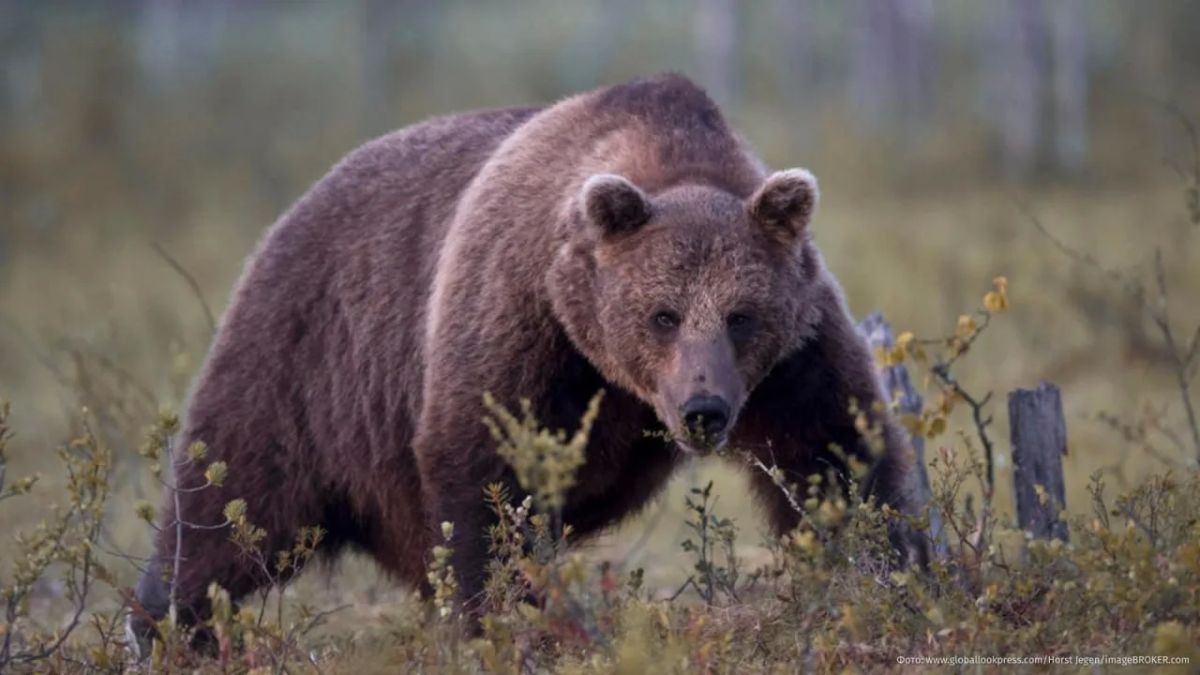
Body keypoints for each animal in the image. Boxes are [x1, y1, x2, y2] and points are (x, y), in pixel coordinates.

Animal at [130, 73, 920, 650]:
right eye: (662, 314)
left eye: (741, 315)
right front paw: (500, 619)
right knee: (229, 502)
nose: (704, 409)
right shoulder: (519, 315)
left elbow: (836, 454)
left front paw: (891, 575)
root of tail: (298, 202)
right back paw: (168, 626)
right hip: (307, 358)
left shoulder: (793, 356)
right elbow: (485, 470)